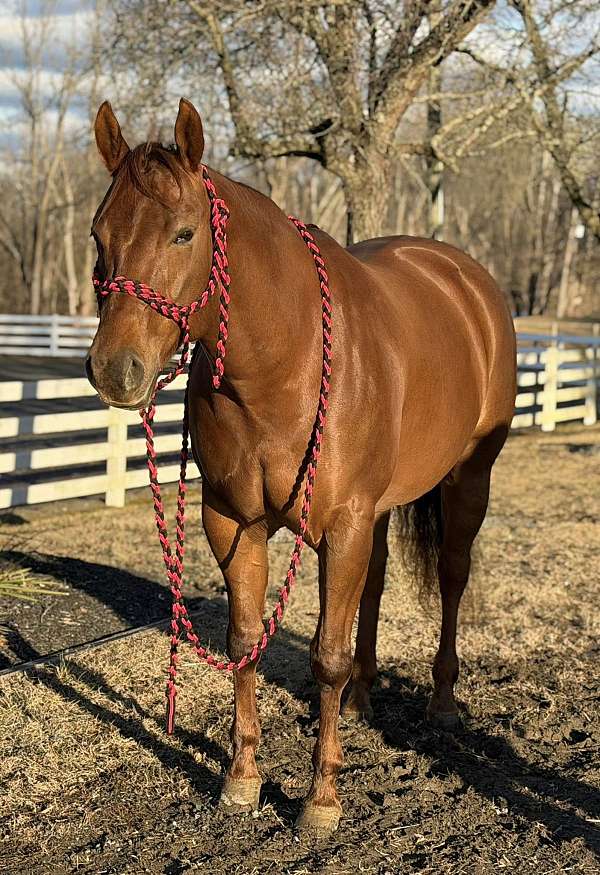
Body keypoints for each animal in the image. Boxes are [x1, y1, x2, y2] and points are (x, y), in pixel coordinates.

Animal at [86, 97, 517, 834]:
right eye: (98, 234)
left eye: (183, 234)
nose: (115, 370)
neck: (284, 364)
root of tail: (467, 280)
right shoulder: (234, 522)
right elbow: (244, 640)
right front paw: (241, 778)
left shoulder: (341, 524)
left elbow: (325, 655)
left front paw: (321, 798)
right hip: (374, 516)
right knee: (374, 585)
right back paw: (364, 699)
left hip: (468, 484)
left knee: (452, 579)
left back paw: (440, 702)